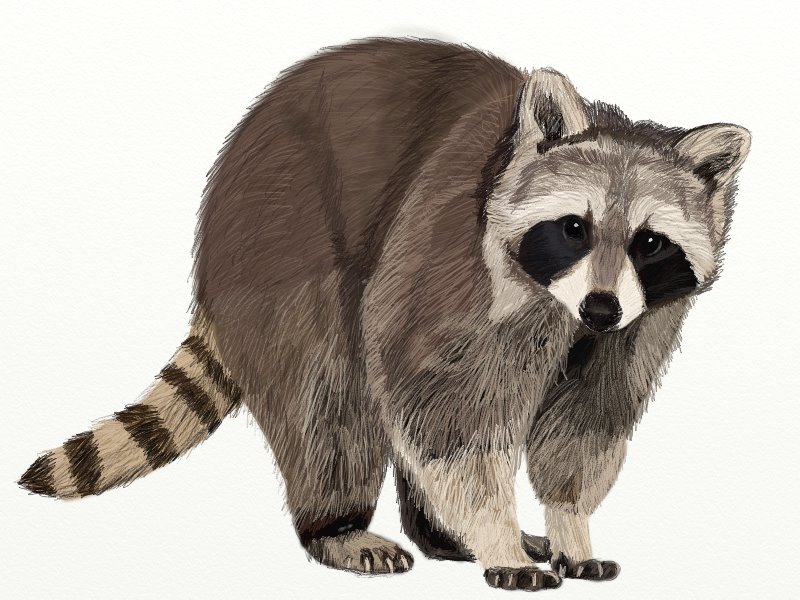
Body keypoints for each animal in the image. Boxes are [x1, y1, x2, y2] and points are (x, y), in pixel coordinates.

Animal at [19, 38, 750, 591]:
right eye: (574, 227)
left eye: (649, 243)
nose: (599, 307)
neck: (560, 303)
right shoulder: (449, 254)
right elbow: (447, 411)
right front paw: (496, 536)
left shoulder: (641, 321)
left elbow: (588, 418)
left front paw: (570, 523)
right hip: (282, 233)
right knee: (331, 396)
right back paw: (339, 525)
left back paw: (439, 531)